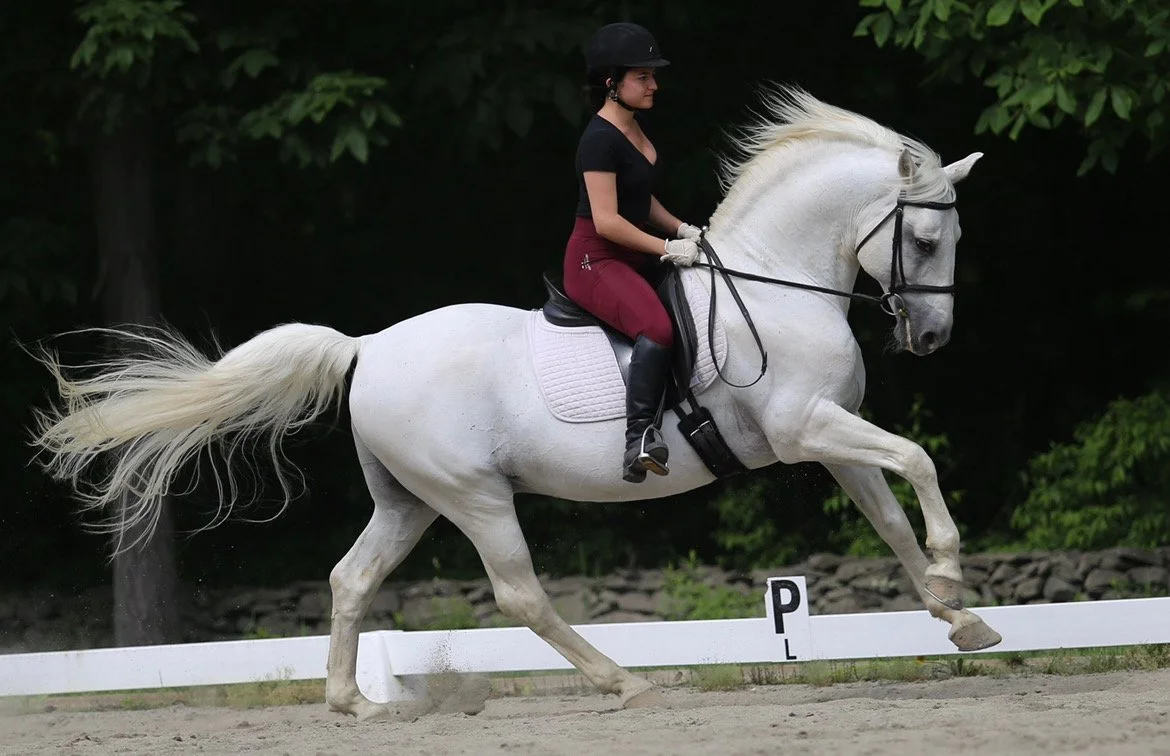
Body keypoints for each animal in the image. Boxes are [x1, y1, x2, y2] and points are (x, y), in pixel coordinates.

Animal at [30, 87, 1000, 720]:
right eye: (924, 238)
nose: (931, 338)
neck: (780, 286)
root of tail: (367, 346)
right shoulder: (806, 430)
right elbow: (919, 460)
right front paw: (957, 578)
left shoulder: (832, 440)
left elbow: (893, 519)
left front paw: (961, 617)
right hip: (474, 495)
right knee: (519, 593)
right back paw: (624, 682)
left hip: (409, 500)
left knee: (351, 578)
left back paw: (352, 703)